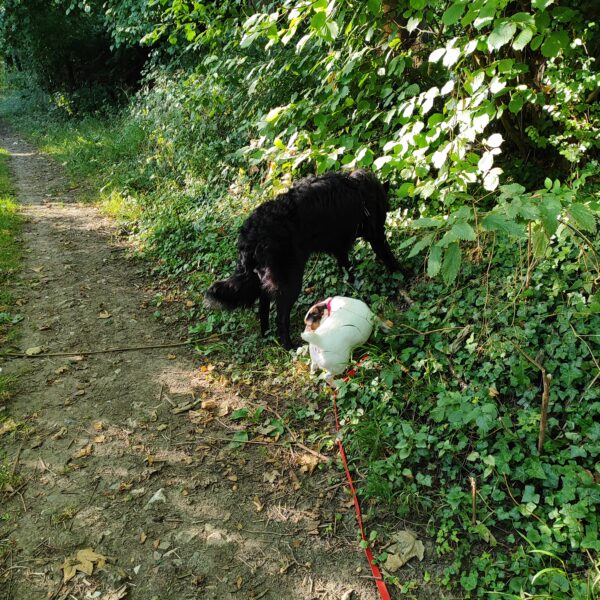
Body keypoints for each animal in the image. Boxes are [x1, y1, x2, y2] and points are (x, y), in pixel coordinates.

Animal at [206, 169, 404, 350]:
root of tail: (251, 234)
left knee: (263, 305)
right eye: (384, 210)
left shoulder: (340, 246)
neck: (361, 190)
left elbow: (347, 269)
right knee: (280, 317)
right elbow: (388, 257)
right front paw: (402, 273)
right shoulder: (375, 236)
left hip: (269, 279)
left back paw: (266, 335)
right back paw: (288, 345)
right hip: (291, 280)